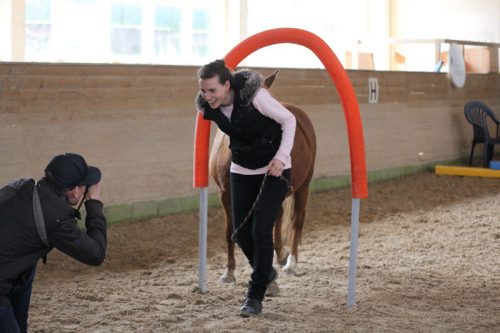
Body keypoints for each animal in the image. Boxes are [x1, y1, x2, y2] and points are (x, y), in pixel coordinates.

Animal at [208, 71, 316, 282]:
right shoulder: (225, 194)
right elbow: (230, 231)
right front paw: (229, 271)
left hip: (304, 186)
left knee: (296, 221)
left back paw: (291, 263)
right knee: (279, 216)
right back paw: (280, 255)